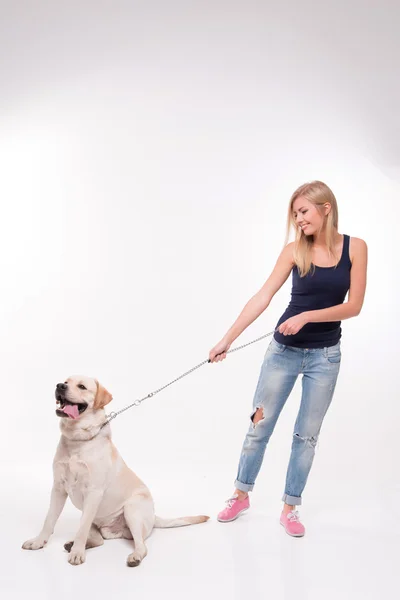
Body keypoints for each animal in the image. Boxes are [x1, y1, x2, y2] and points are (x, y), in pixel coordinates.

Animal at [21, 376, 209, 568]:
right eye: (65, 381)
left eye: (82, 386)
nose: (60, 386)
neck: (77, 440)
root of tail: (154, 516)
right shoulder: (58, 488)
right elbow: (49, 519)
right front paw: (38, 542)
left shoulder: (93, 492)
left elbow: (81, 529)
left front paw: (77, 553)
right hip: (94, 519)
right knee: (99, 539)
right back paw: (73, 545)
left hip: (131, 510)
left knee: (140, 545)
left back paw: (133, 556)